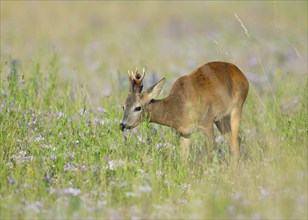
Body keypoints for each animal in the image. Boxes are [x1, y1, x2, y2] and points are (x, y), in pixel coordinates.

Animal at [119, 62, 249, 165]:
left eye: (138, 108)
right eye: (123, 106)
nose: (122, 125)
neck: (179, 107)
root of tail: (241, 73)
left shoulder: (207, 123)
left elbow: (211, 154)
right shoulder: (184, 132)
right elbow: (183, 159)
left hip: (237, 106)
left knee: (236, 141)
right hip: (221, 119)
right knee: (233, 141)